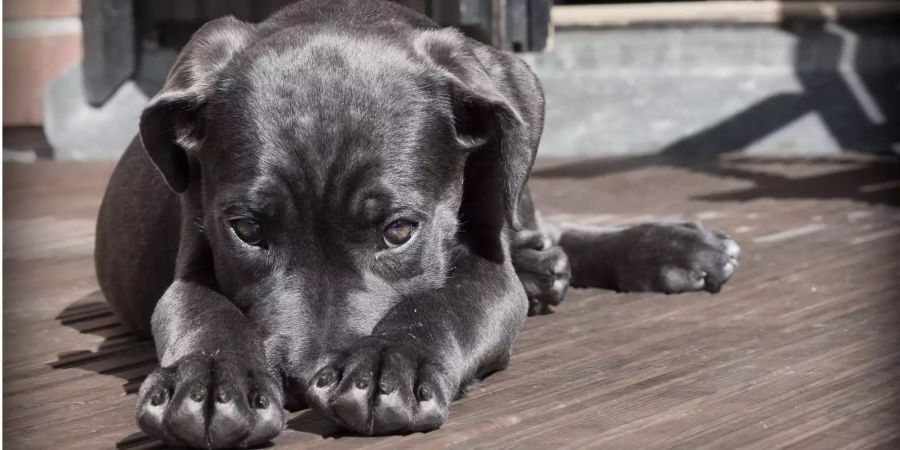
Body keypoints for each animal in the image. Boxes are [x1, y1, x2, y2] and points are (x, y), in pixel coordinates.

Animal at [93, 1, 740, 448]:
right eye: (246, 230)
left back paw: (668, 247)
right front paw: (210, 381)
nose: (302, 380)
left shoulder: (487, 268)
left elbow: (447, 302)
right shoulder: (192, 258)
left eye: (400, 231)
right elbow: (202, 310)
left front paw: (388, 364)